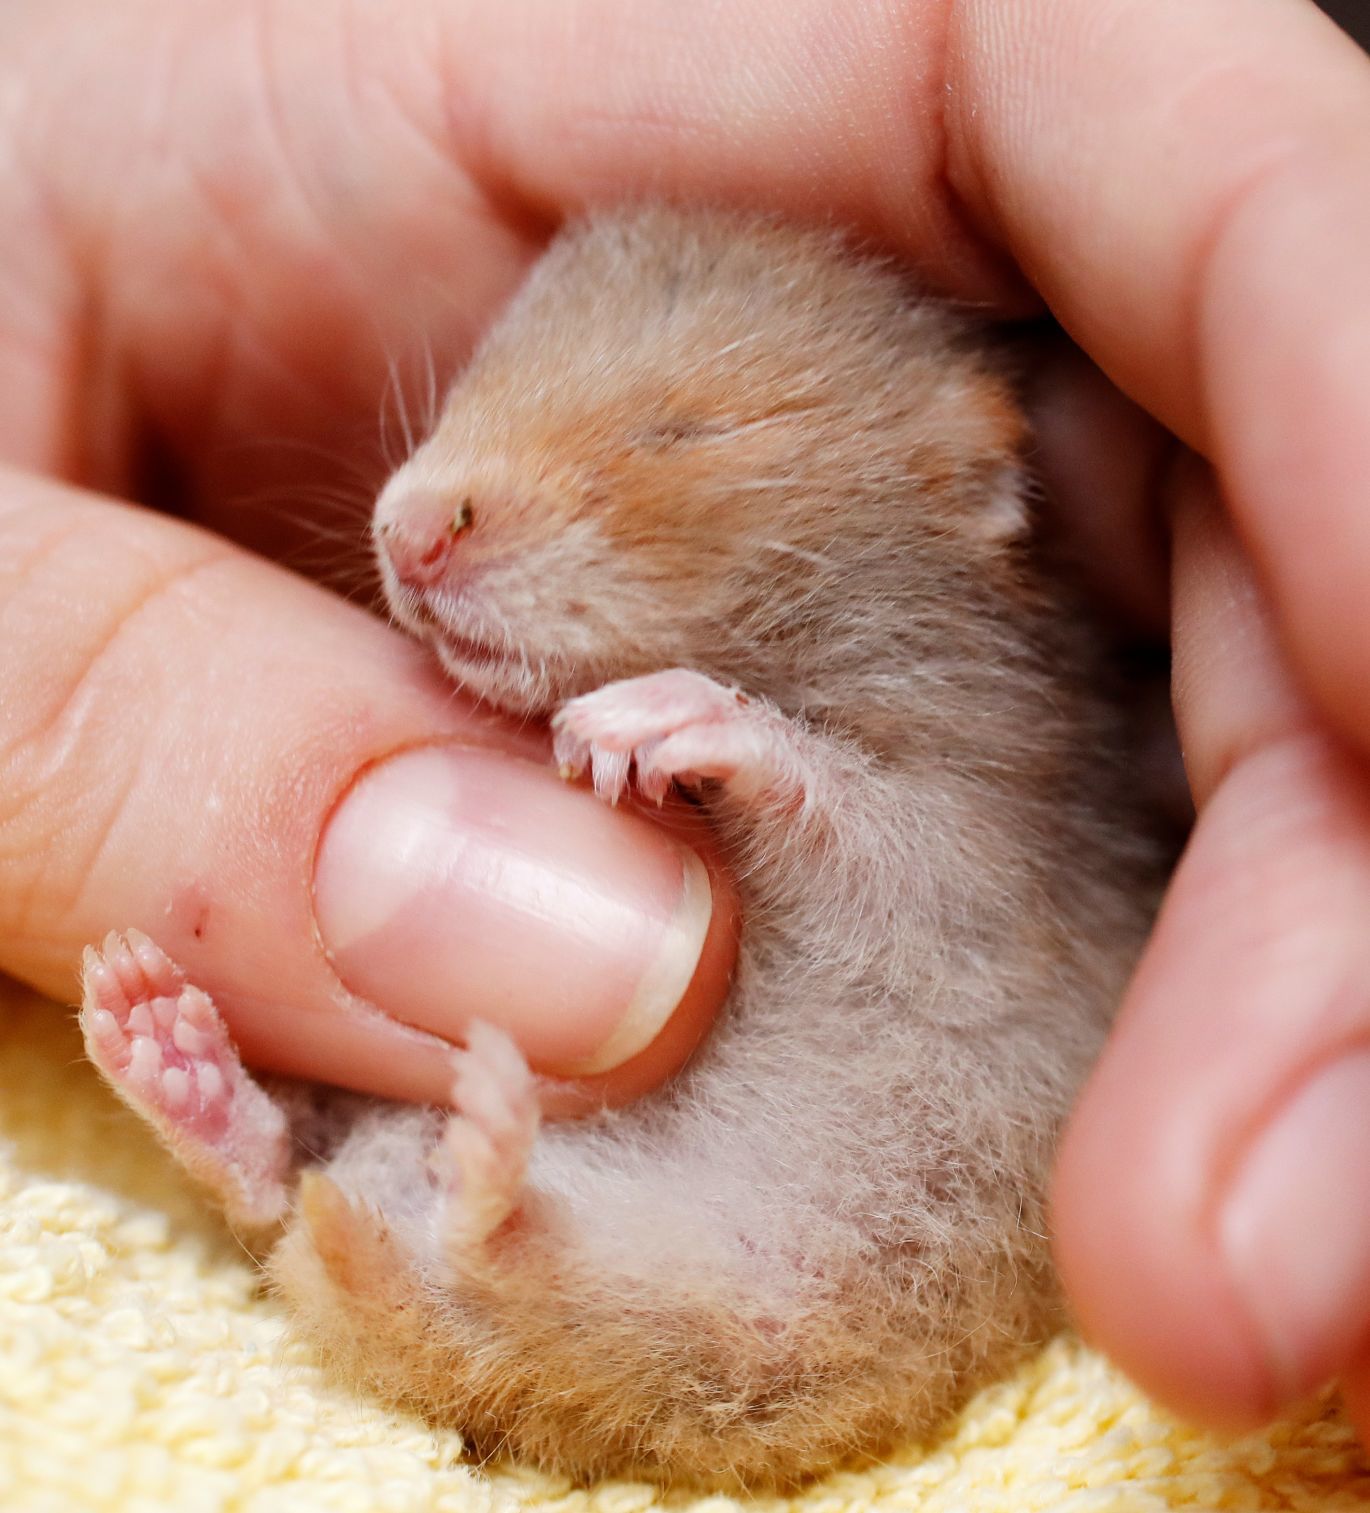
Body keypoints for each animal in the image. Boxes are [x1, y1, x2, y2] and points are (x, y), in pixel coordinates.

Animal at [79, 207, 1164, 1490]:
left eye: (688, 433)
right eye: (480, 374)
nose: (406, 527)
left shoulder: (970, 859)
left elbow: (849, 813)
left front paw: (640, 722)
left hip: (749, 1325)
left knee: (490, 1263)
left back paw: (477, 1139)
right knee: (293, 1182)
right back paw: (162, 1032)